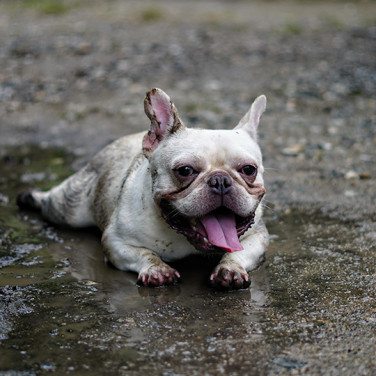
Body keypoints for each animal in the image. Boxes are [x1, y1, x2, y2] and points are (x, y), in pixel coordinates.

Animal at [17, 88, 268, 290]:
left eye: (248, 169)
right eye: (185, 170)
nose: (220, 181)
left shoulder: (258, 237)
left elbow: (240, 252)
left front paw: (230, 268)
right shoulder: (117, 242)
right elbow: (144, 253)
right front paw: (157, 269)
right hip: (69, 209)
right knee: (52, 202)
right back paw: (30, 197)